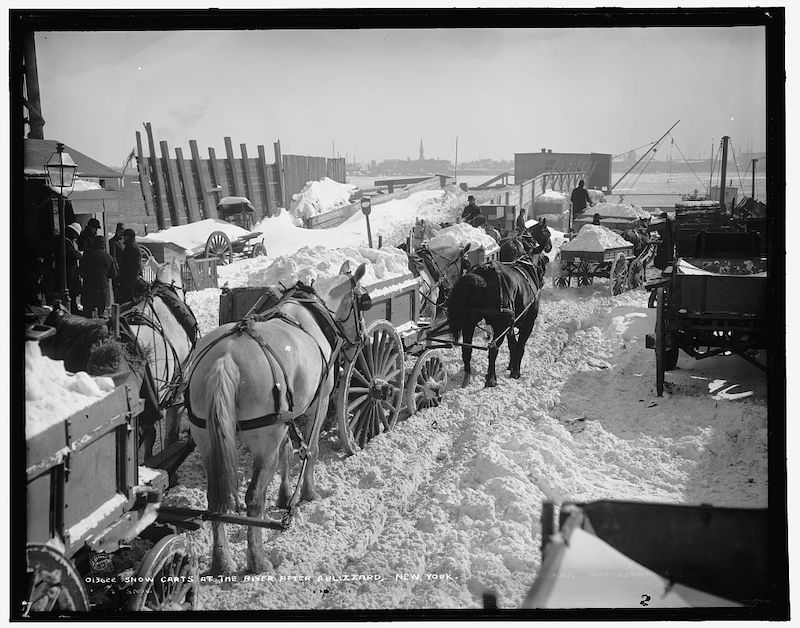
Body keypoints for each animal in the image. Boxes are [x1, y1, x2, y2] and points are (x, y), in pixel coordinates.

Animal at [183, 260, 368, 576]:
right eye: (363, 301)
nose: (361, 339)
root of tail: (225, 359)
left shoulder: (286, 417)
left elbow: (288, 451)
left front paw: (284, 496)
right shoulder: (319, 402)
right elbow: (310, 450)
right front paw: (308, 493)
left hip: (207, 438)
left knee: (216, 499)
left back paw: (222, 561)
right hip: (263, 440)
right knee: (253, 499)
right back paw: (257, 560)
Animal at [446, 253, 548, 386]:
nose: (542, 281)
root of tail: (484, 271)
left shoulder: (510, 326)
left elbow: (512, 345)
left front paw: (511, 366)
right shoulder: (528, 324)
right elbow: (520, 347)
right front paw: (516, 371)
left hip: (469, 322)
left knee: (467, 348)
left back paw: (467, 375)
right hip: (500, 325)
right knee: (493, 348)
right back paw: (491, 378)